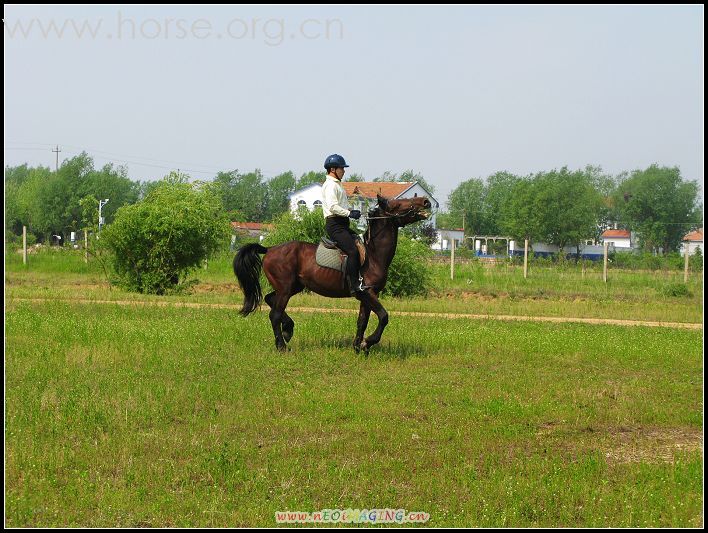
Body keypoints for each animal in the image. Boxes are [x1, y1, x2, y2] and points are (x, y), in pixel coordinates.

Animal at [232, 193, 432, 352]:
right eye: (397, 204)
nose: (425, 201)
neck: (373, 255)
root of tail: (270, 249)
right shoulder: (367, 292)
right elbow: (383, 317)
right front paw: (367, 343)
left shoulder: (367, 295)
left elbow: (362, 321)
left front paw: (358, 347)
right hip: (286, 289)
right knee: (274, 314)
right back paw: (282, 346)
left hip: (292, 287)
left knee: (270, 300)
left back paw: (288, 329)